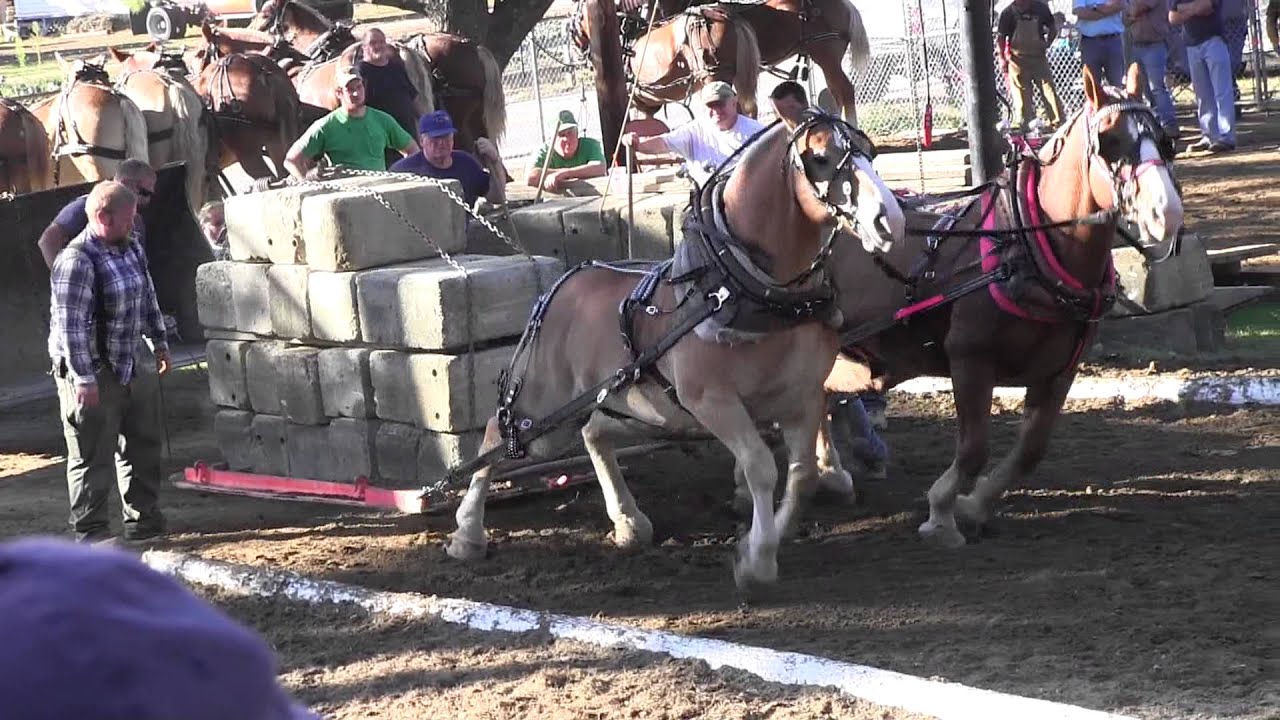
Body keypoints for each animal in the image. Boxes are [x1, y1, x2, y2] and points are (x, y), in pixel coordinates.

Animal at [444, 106, 906, 588]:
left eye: (869, 149)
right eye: (819, 157)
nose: (889, 220)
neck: (742, 289)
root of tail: (562, 284)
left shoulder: (803, 397)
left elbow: (802, 477)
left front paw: (758, 542)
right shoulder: (713, 401)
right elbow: (761, 468)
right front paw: (757, 560)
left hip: (635, 408)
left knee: (594, 434)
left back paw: (629, 522)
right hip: (545, 413)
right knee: (497, 438)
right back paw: (467, 534)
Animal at [817, 65, 1184, 547]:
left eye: (1165, 140)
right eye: (1110, 141)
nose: (1167, 213)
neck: (1023, 244)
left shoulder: (1059, 371)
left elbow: (1031, 450)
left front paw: (973, 507)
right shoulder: (970, 359)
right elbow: (974, 449)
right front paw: (941, 514)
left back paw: (830, 473)